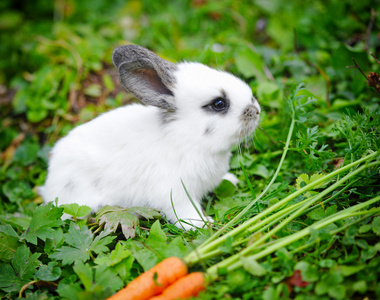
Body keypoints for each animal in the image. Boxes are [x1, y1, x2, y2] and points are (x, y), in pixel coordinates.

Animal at [40, 45, 260, 231]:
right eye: (219, 104)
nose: (256, 110)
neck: (186, 138)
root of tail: (50, 182)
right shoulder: (175, 192)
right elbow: (184, 211)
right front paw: (204, 223)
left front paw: (231, 180)